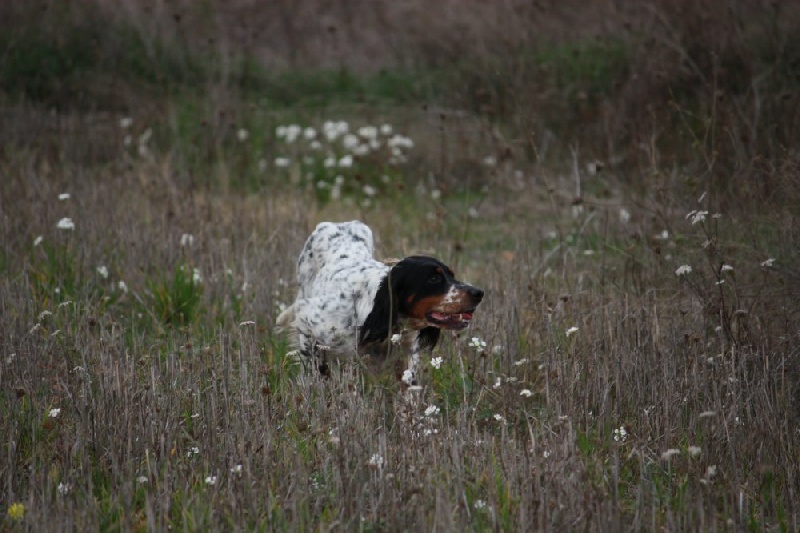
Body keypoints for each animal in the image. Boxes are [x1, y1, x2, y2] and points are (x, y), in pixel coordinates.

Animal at [278, 218, 484, 384]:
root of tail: (335, 224)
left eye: (451, 275)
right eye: (434, 278)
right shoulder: (308, 323)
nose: (479, 293)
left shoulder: (407, 354)